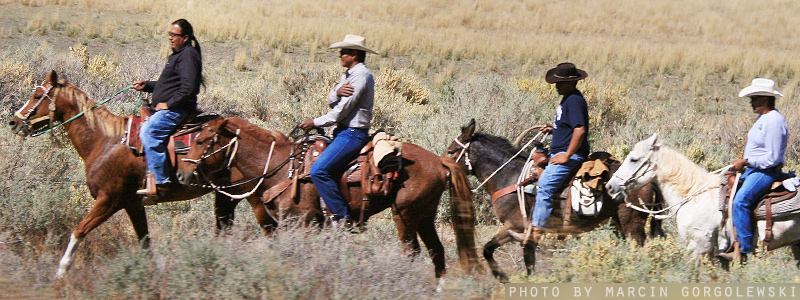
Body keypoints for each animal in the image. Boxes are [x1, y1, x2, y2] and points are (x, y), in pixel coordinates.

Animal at [7, 71, 278, 278]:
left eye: (37, 96)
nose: (14, 122)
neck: (106, 141)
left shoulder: (109, 200)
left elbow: (78, 231)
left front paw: (61, 273)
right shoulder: (132, 203)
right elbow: (144, 242)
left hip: (254, 198)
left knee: (270, 231)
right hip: (225, 196)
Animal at [175, 116, 482, 282]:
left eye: (201, 140)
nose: (182, 173)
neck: (278, 166)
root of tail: (440, 162)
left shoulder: (303, 224)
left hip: (404, 215)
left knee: (413, 253)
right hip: (424, 216)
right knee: (436, 252)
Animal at [444, 119, 664, 282]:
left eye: (451, 151)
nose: (443, 171)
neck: (509, 176)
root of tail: (648, 179)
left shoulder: (517, 226)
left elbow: (517, 256)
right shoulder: (518, 230)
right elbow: (494, 250)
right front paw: (506, 277)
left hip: (632, 223)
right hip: (619, 223)